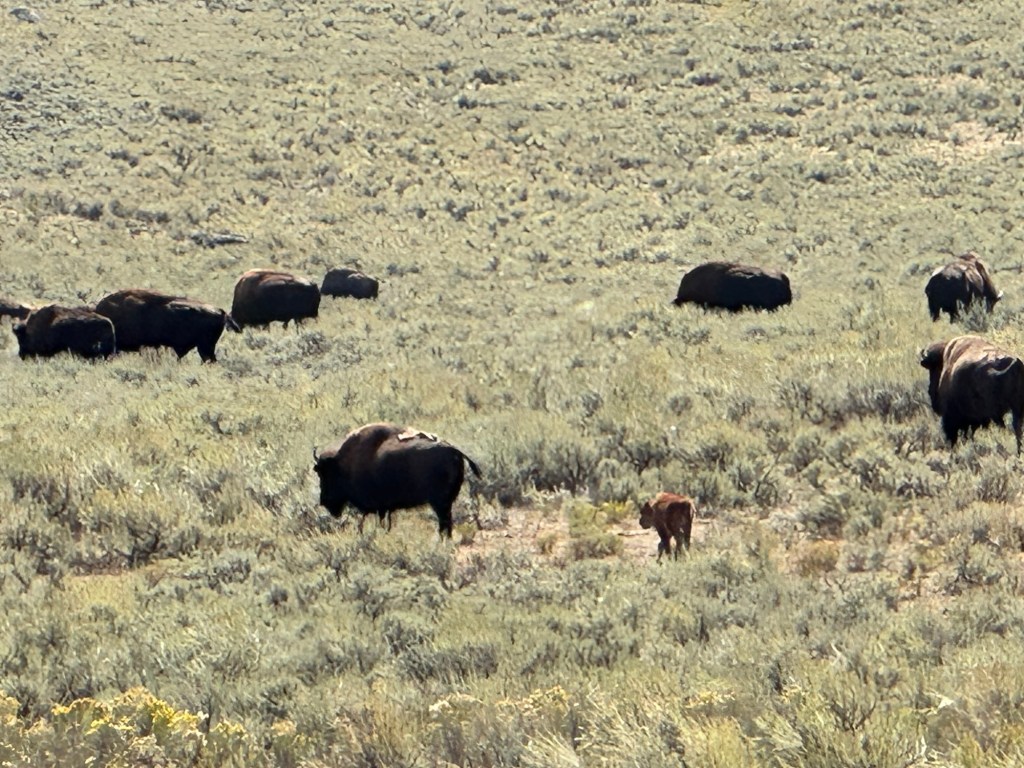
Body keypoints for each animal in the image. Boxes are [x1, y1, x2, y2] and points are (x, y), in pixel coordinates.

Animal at [313, 422, 481, 537]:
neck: (345, 463)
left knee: (444, 524)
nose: (324, 501)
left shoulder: (380, 507)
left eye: (324, 473)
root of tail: (455, 451)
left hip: (440, 503)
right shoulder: (384, 508)